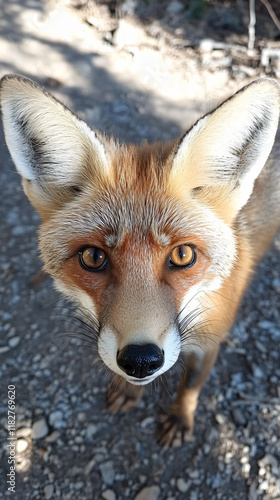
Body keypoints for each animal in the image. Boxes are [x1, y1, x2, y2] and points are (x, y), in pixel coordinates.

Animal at [0, 74, 280, 446]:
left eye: (183, 255)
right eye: (93, 257)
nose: (140, 360)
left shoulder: (210, 341)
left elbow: (190, 386)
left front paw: (180, 417)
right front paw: (129, 390)